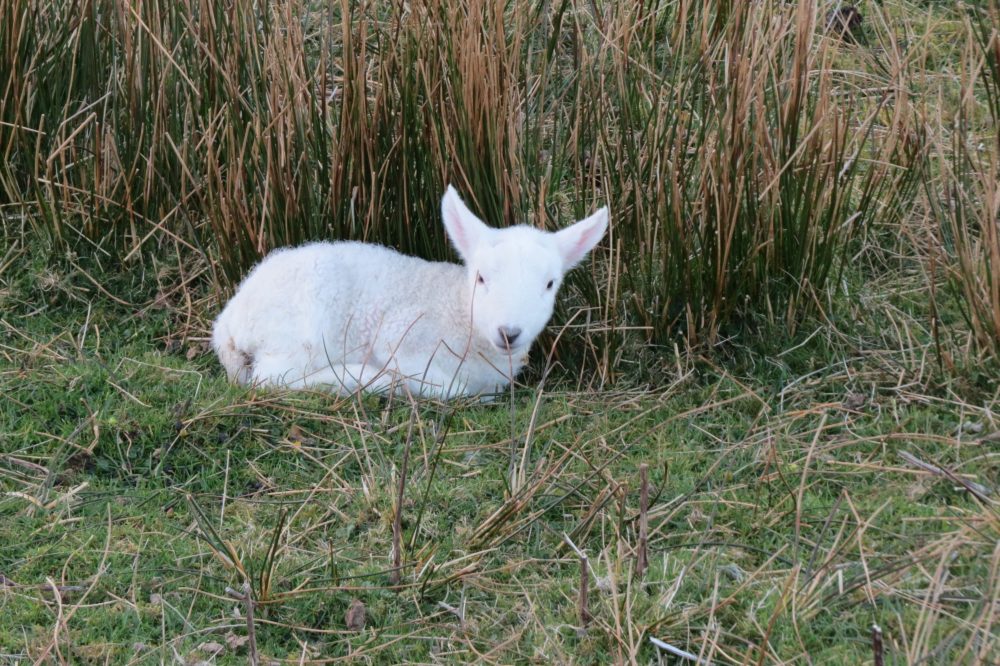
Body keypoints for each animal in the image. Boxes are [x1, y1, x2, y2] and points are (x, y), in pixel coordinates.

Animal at [211, 184, 608, 396]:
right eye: (481, 278)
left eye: (549, 284)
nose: (509, 332)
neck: (460, 315)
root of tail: (228, 322)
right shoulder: (401, 336)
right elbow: (453, 390)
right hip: (302, 333)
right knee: (271, 380)